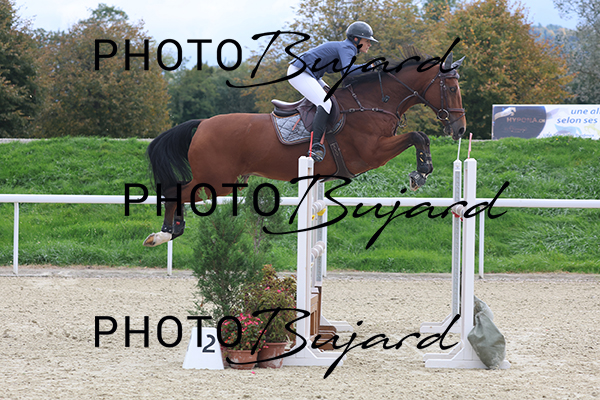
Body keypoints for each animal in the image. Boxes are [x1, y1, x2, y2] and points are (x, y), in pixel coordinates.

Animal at [143, 49, 466, 247]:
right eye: (451, 89)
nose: (460, 129)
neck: (373, 102)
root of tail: (202, 124)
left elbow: (419, 136)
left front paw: (422, 171)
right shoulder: (372, 153)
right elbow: (418, 135)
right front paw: (420, 172)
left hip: (222, 179)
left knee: (179, 191)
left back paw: (172, 230)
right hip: (216, 179)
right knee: (175, 190)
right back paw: (163, 234)